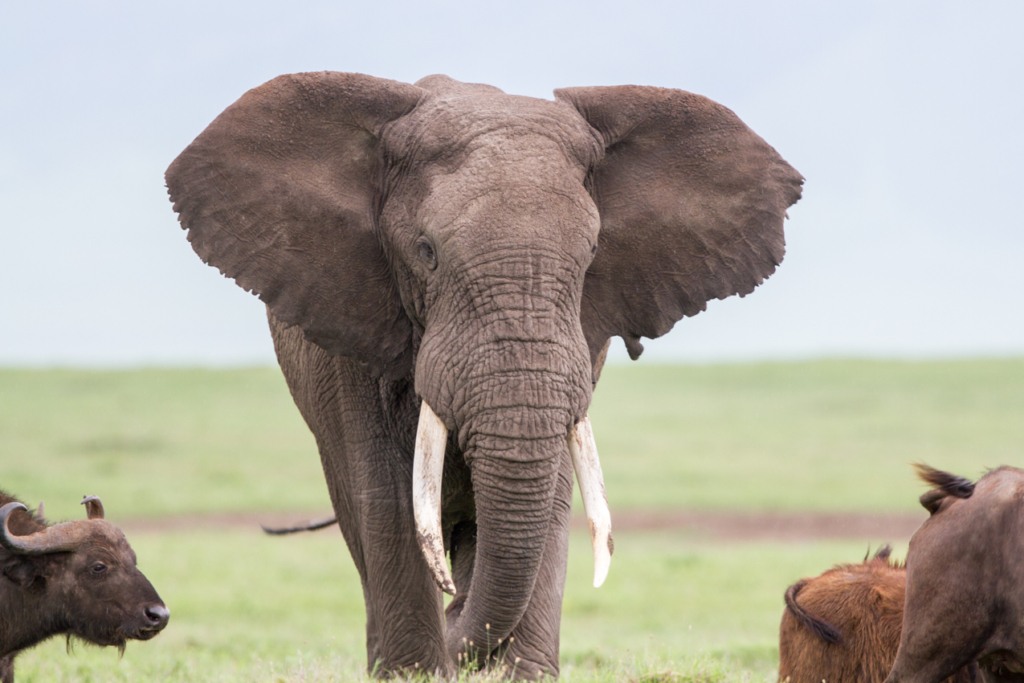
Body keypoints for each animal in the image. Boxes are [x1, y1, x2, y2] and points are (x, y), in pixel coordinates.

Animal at [165, 72, 798, 679]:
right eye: (426, 252)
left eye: (593, 252)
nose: (453, 615)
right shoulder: (349, 330)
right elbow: (386, 498)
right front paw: (417, 672)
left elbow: (552, 494)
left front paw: (520, 672)